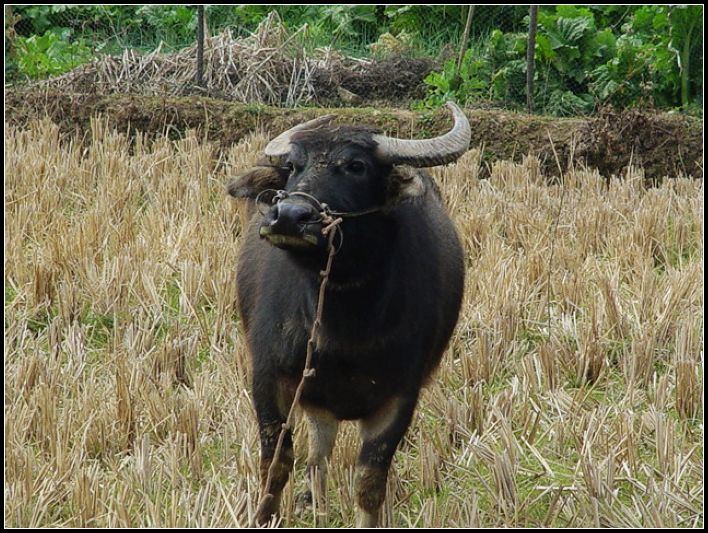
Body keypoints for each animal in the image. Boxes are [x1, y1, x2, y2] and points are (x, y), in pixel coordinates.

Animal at [228, 102, 470, 524]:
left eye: (356, 166)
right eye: (293, 165)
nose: (288, 216)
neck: (344, 321)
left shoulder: (399, 396)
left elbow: (370, 482)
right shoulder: (269, 378)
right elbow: (275, 464)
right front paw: (264, 517)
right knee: (316, 453)